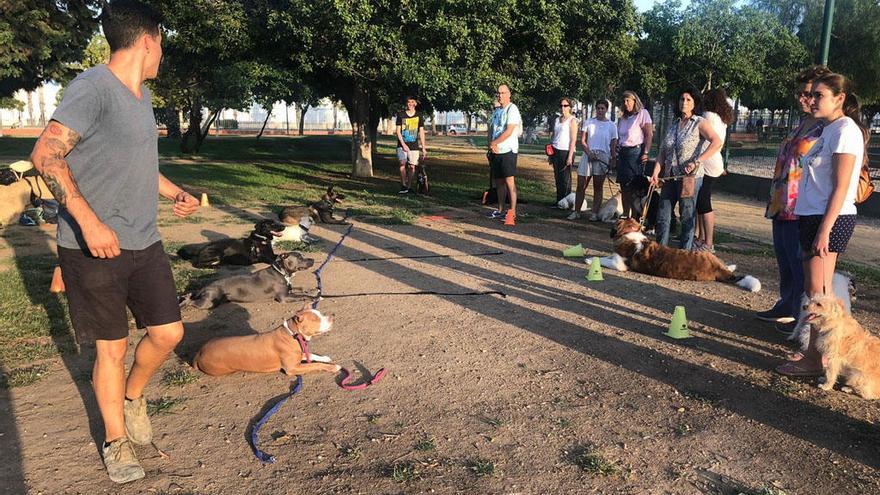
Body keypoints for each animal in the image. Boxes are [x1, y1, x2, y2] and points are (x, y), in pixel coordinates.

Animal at [192, 308, 340, 378]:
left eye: (320, 313)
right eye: (316, 319)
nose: (333, 317)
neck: (293, 334)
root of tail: (199, 352)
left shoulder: (299, 354)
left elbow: (313, 356)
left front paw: (325, 357)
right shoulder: (292, 368)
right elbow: (315, 365)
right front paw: (333, 367)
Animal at [592, 219, 764, 292]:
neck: (629, 233)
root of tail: (718, 269)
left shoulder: (620, 264)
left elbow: (603, 259)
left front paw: (590, 260)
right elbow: (605, 256)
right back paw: (731, 265)